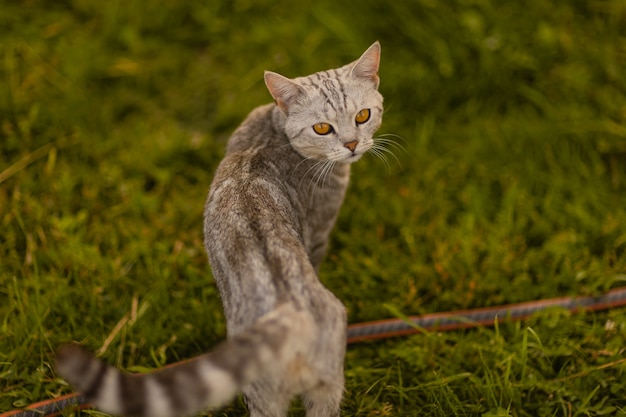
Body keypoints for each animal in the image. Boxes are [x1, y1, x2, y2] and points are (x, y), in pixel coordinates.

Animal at [56, 41, 382, 416]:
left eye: (363, 116)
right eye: (322, 129)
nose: (352, 144)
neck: (272, 131)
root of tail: (291, 316)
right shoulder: (318, 237)